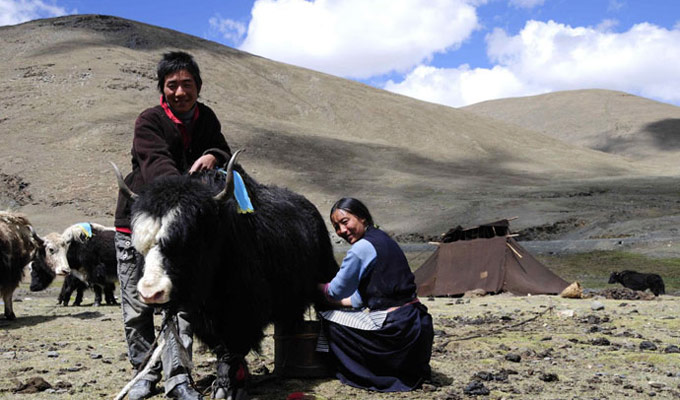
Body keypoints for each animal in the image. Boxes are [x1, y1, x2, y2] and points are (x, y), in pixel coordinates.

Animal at [116, 152, 340, 398]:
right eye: (141, 245)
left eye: (187, 241)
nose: (150, 292)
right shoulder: (203, 316)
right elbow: (221, 347)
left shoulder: (243, 310)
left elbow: (234, 346)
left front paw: (229, 387)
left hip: (324, 276)